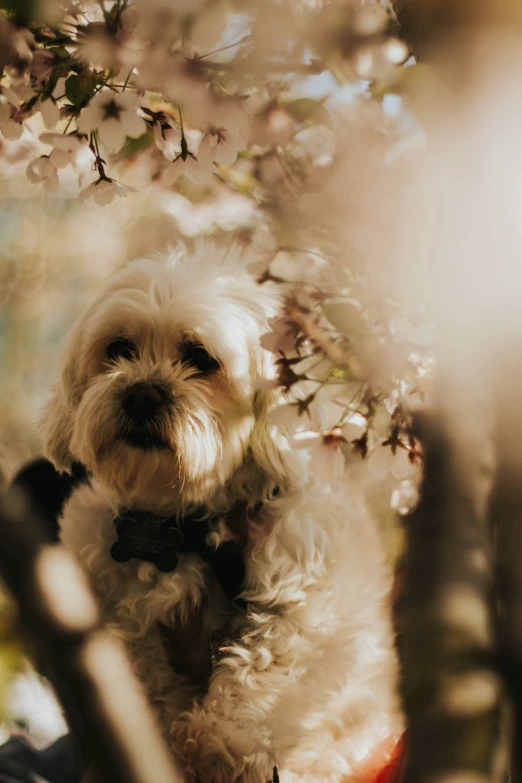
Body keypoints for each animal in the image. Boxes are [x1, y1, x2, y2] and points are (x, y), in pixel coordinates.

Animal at [42, 243, 400, 783]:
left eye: (200, 358)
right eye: (118, 348)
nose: (141, 392)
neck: (185, 524)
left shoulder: (312, 605)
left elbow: (267, 668)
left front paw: (215, 741)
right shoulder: (111, 606)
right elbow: (146, 680)